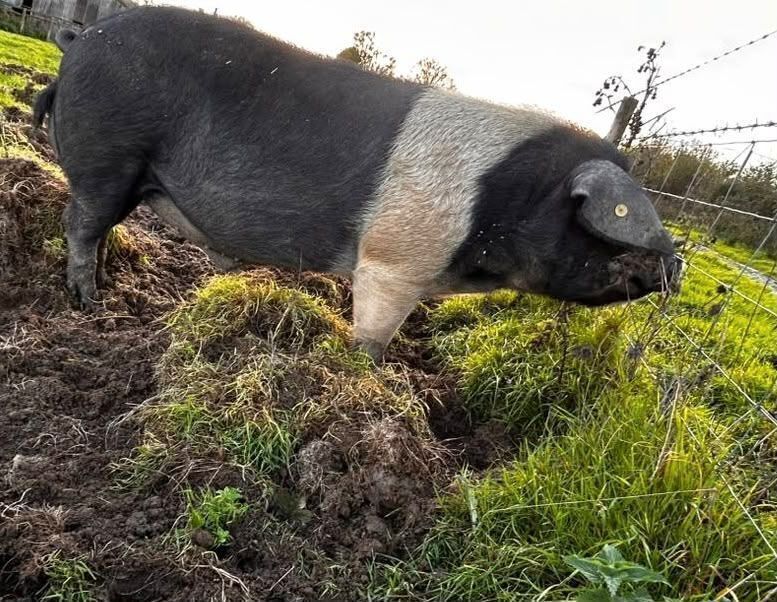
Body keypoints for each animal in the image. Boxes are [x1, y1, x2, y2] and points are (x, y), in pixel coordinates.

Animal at [33, 6, 678, 361]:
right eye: (612, 227)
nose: (674, 266)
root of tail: (79, 41)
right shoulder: (394, 260)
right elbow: (373, 335)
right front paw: (366, 374)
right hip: (109, 155)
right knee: (80, 222)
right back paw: (89, 301)